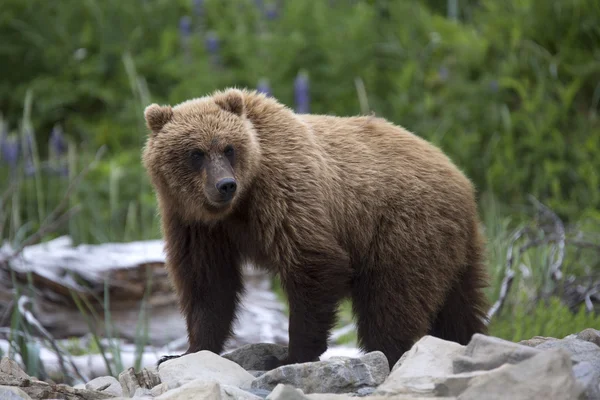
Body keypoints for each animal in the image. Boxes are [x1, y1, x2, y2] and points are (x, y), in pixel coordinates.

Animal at [143, 89, 490, 370]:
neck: (237, 208)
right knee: (459, 307)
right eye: (196, 153)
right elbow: (207, 282)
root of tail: (462, 180)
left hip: (402, 229)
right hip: (451, 248)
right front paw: (185, 352)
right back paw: (466, 340)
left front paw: (288, 356)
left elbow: (312, 264)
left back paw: (390, 352)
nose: (225, 185)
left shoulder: (284, 194)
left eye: (228, 148)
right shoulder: (194, 223)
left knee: (393, 300)